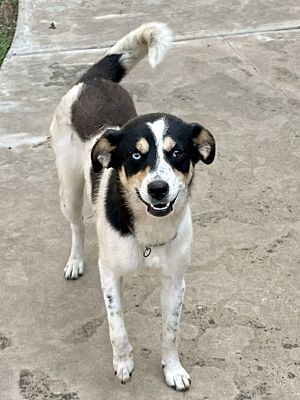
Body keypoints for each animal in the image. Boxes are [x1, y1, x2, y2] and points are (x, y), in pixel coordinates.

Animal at [51, 21, 216, 390]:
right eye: (136, 156)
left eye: (177, 152)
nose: (158, 189)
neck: (149, 232)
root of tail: (94, 79)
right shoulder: (110, 274)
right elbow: (118, 330)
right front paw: (124, 363)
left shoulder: (175, 280)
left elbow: (170, 332)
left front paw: (173, 369)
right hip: (69, 188)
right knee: (76, 225)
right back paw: (74, 261)